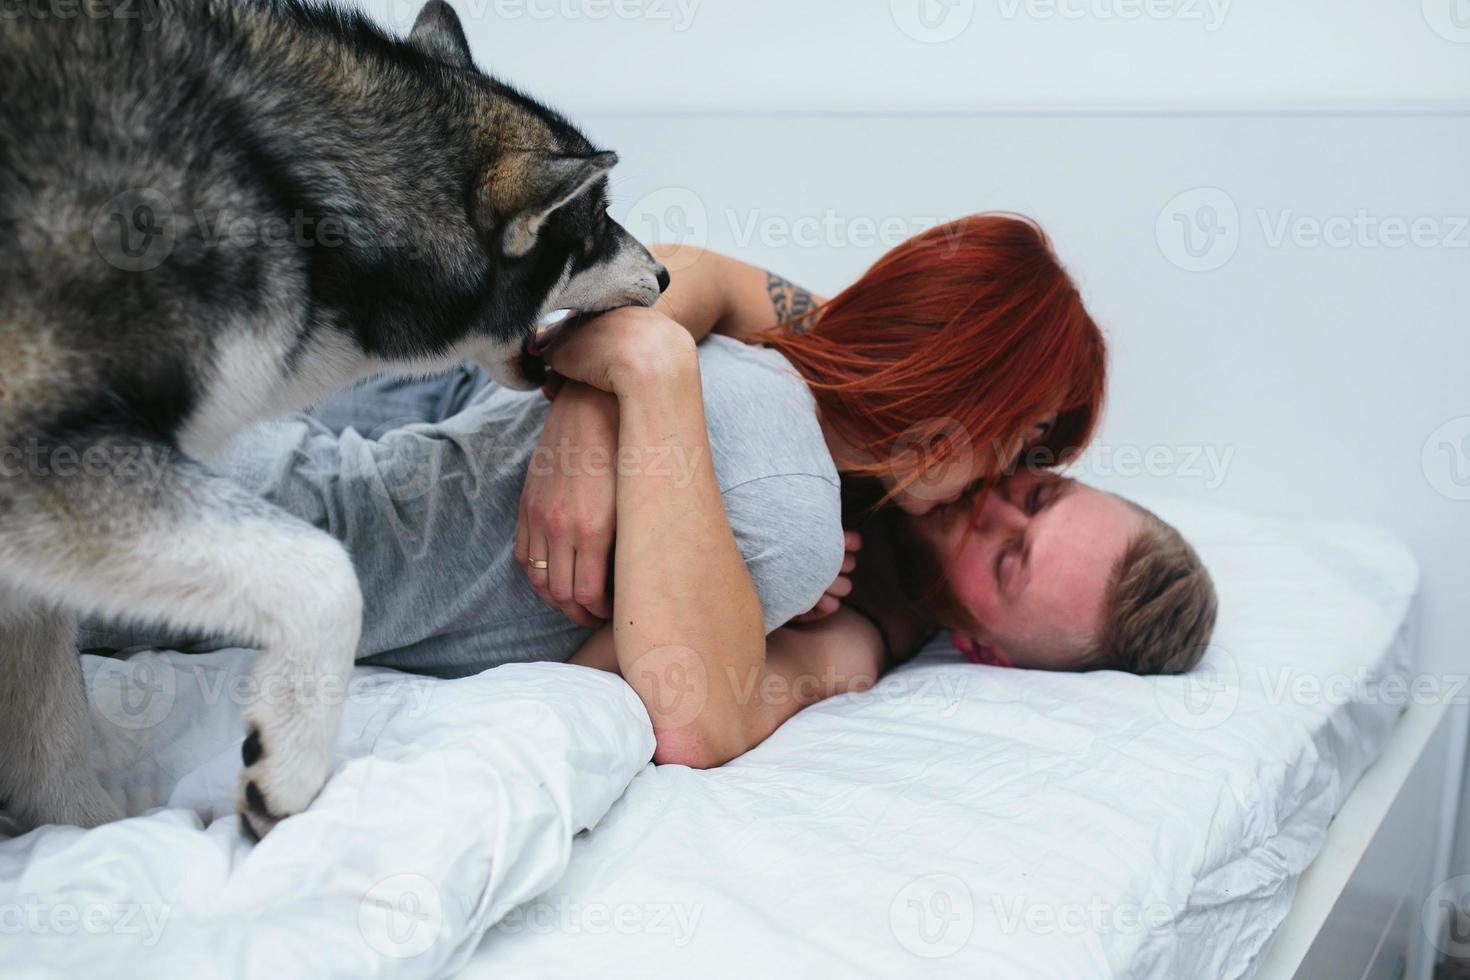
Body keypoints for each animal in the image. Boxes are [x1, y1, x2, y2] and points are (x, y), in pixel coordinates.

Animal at [0, 0, 667, 840]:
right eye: (599, 224)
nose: (667, 275)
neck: (290, 194)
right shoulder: (45, 455)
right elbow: (324, 578)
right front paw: (289, 767)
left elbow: (51, 733)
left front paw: (85, 833)